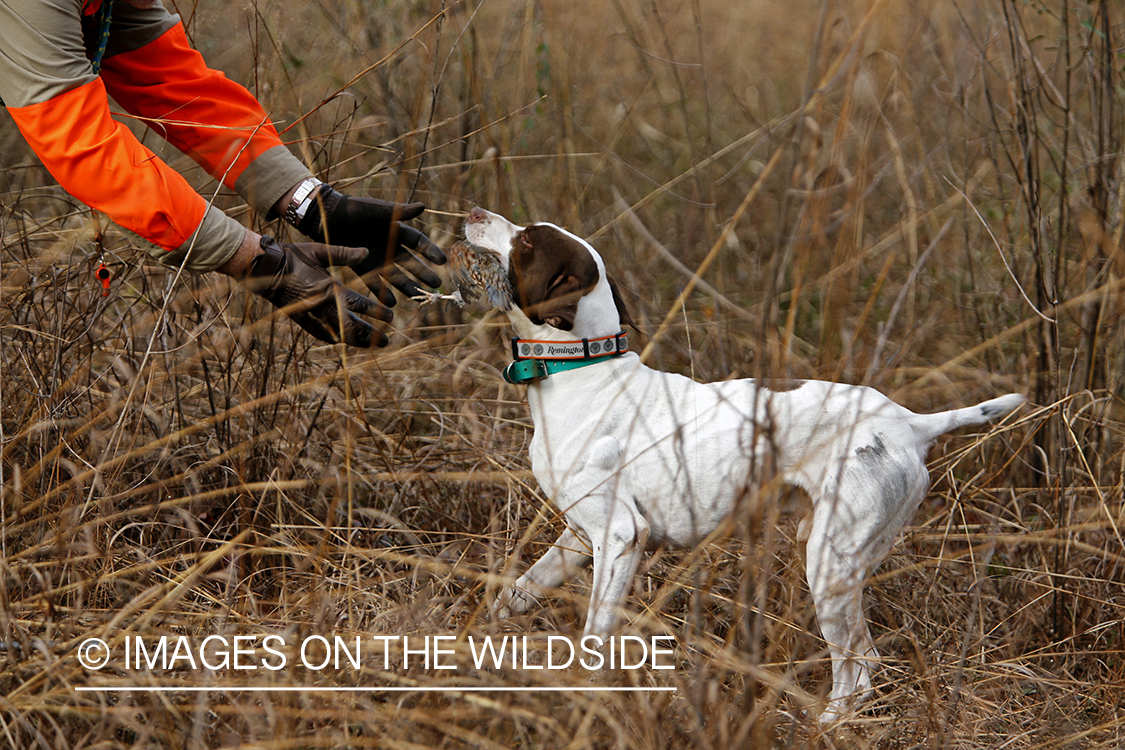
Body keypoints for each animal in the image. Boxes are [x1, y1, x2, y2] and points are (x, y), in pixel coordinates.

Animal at [461, 206, 1026, 719]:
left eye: (527, 241)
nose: (472, 211)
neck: (582, 370)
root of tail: (908, 423)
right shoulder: (579, 537)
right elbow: (515, 592)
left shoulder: (621, 536)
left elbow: (597, 630)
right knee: (864, 661)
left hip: (829, 561)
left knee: (858, 669)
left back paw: (824, 723)